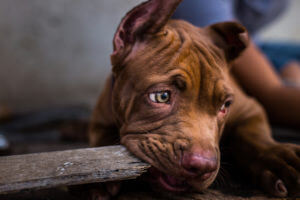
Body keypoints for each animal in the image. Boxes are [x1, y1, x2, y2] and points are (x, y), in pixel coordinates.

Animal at [89, 0, 300, 198]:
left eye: (225, 106)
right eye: (161, 96)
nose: (202, 166)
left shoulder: (250, 109)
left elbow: (254, 136)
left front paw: (278, 159)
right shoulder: (101, 118)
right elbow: (102, 140)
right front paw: (98, 174)